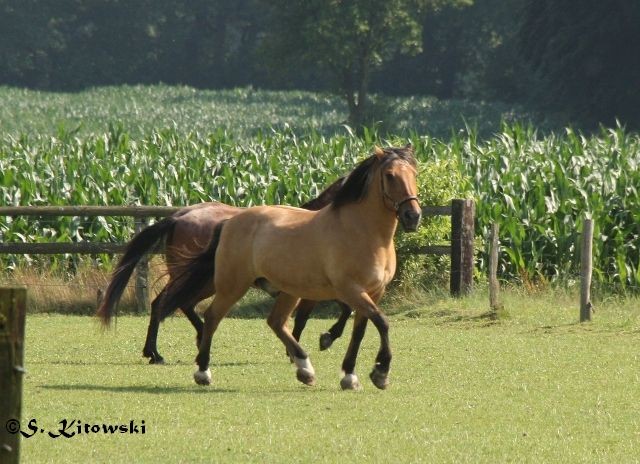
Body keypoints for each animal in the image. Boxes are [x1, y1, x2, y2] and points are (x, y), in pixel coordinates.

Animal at [95, 177, 352, 362]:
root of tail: (179, 216)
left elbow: (342, 309)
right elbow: (311, 318)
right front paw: (314, 343)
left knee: (176, 304)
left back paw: (173, 346)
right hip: (199, 280)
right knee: (168, 303)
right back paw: (163, 351)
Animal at [159, 144, 420, 388]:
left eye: (414, 173)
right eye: (390, 175)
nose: (413, 216)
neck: (362, 232)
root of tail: (230, 221)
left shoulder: (374, 292)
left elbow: (360, 331)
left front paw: (350, 376)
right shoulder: (351, 290)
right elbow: (382, 323)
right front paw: (380, 373)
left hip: (288, 291)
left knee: (275, 321)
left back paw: (305, 369)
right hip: (232, 285)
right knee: (213, 317)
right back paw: (203, 372)